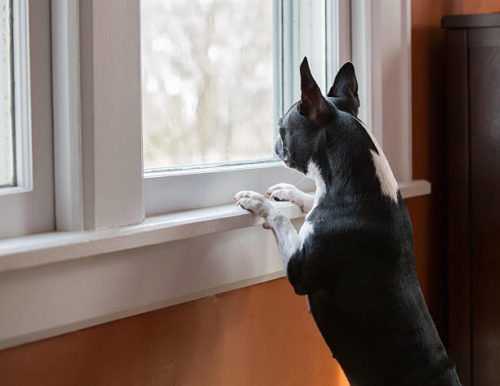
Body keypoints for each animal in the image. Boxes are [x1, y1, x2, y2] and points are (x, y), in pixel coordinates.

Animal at [234, 58, 460, 386]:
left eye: (282, 128)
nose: (274, 143)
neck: (354, 186)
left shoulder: (299, 270)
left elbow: (280, 218)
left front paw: (257, 201)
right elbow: (309, 199)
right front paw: (287, 191)